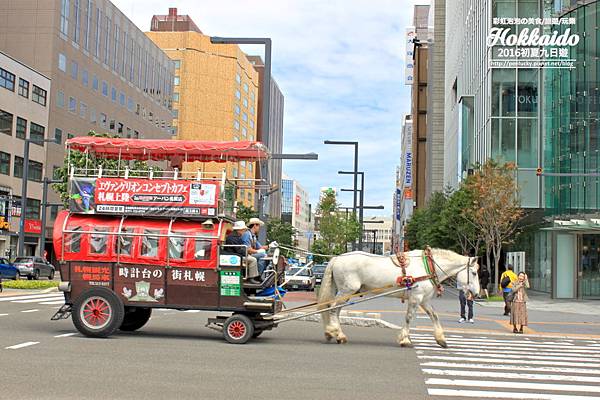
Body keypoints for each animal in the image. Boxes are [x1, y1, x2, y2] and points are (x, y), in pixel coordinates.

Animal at [316, 250, 480, 346]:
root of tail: (337, 258)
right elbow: (409, 317)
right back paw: (334, 332)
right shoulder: (416, 297)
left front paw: (441, 339)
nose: (477, 294)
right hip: (347, 290)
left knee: (336, 310)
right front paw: (405, 339)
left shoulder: (424, 299)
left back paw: (337, 334)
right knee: (333, 309)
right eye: (474, 273)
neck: (428, 266)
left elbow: (434, 315)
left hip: (347, 292)